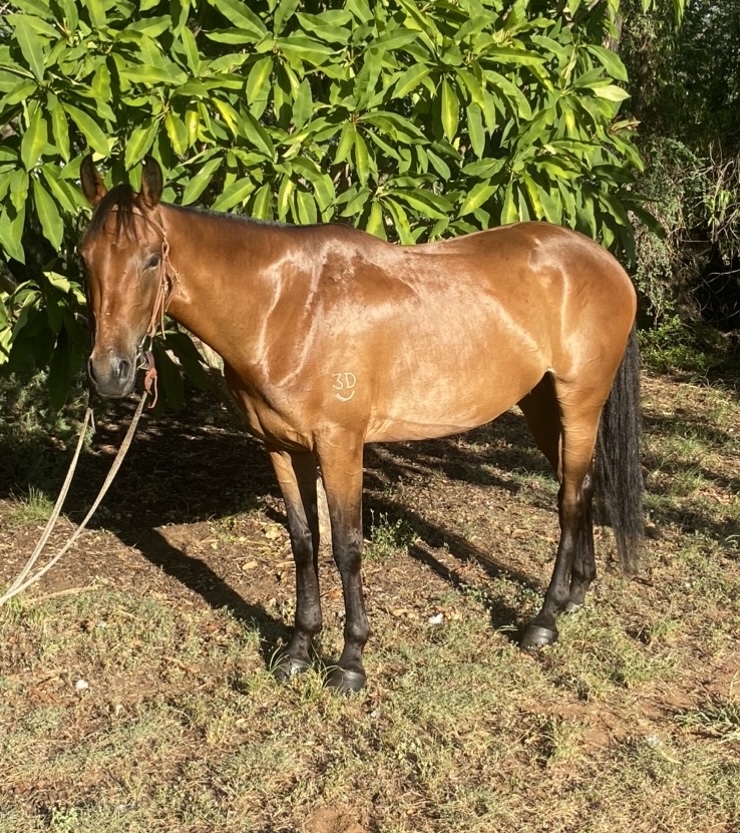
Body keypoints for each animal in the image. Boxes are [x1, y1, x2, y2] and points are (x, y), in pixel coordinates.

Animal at [79, 155, 643, 693]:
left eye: (152, 258)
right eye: (85, 258)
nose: (109, 373)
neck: (286, 310)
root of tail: (604, 260)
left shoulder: (341, 446)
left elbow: (347, 546)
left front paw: (350, 664)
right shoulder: (282, 448)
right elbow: (303, 541)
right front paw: (298, 651)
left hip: (579, 402)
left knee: (568, 498)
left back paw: (543, 621)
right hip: (542, 407)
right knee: (582, 485)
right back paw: (576, 595)